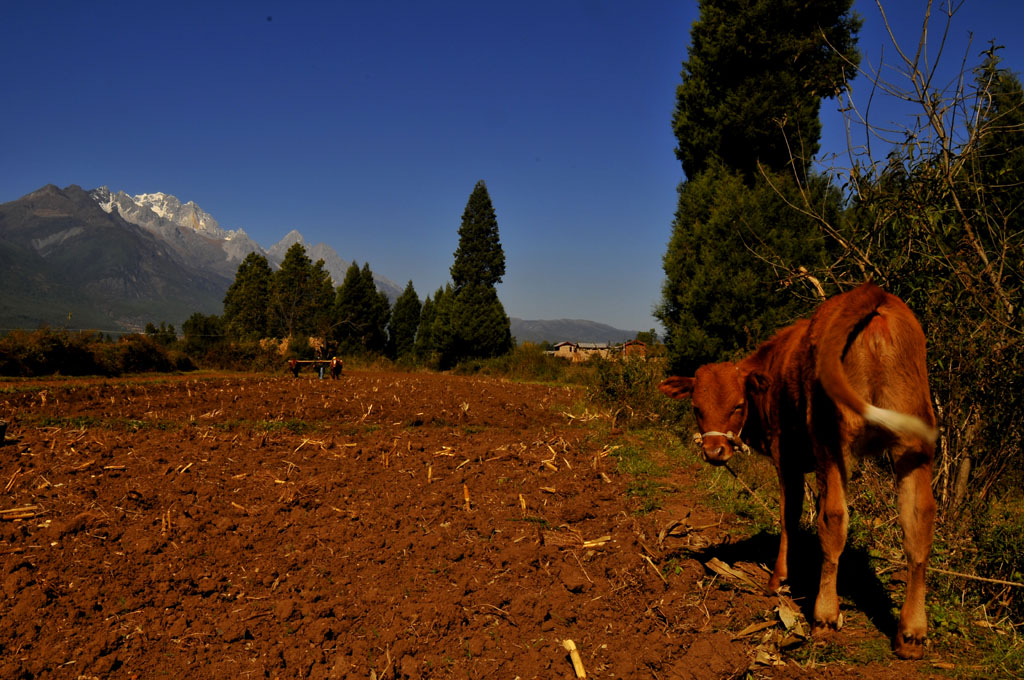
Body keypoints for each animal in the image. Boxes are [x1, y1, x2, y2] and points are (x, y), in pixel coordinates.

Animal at [663, 280, 937, 659]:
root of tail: (872, 294)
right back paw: (911, 634)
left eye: (738, 406)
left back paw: (824, 616)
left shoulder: (787, 457)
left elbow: (789, 515)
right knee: (918, 523)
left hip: (831, 441)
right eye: (696, 407)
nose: (715, 451)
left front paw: (779, 578)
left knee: (834, 518)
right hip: (914, 442)